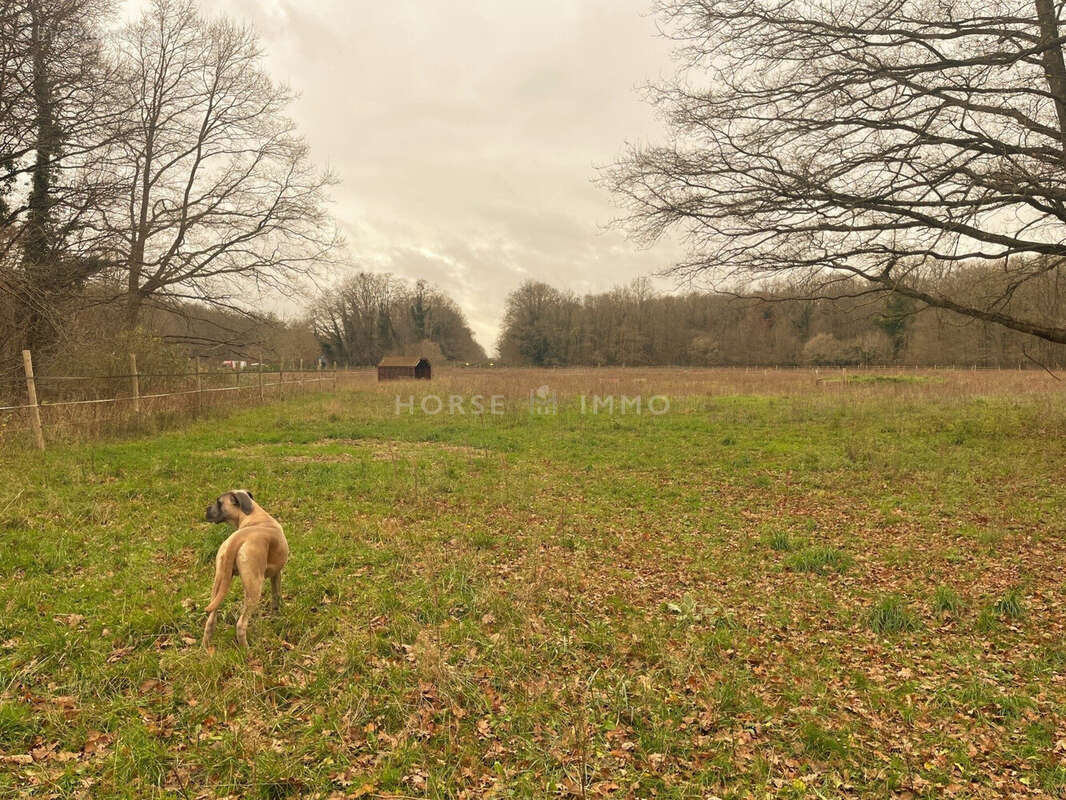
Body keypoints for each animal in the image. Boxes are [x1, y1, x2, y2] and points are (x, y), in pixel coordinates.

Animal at [200, 488, 287, 652]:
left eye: (219, 502)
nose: (206, 510)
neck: (254, 516)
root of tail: (235, 540)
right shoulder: (276, 574)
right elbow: (276, 596)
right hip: (254, 587)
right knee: (241, 624)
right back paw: (247, 650)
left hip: (218, 584)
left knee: (210, 622)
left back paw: (205, 648)